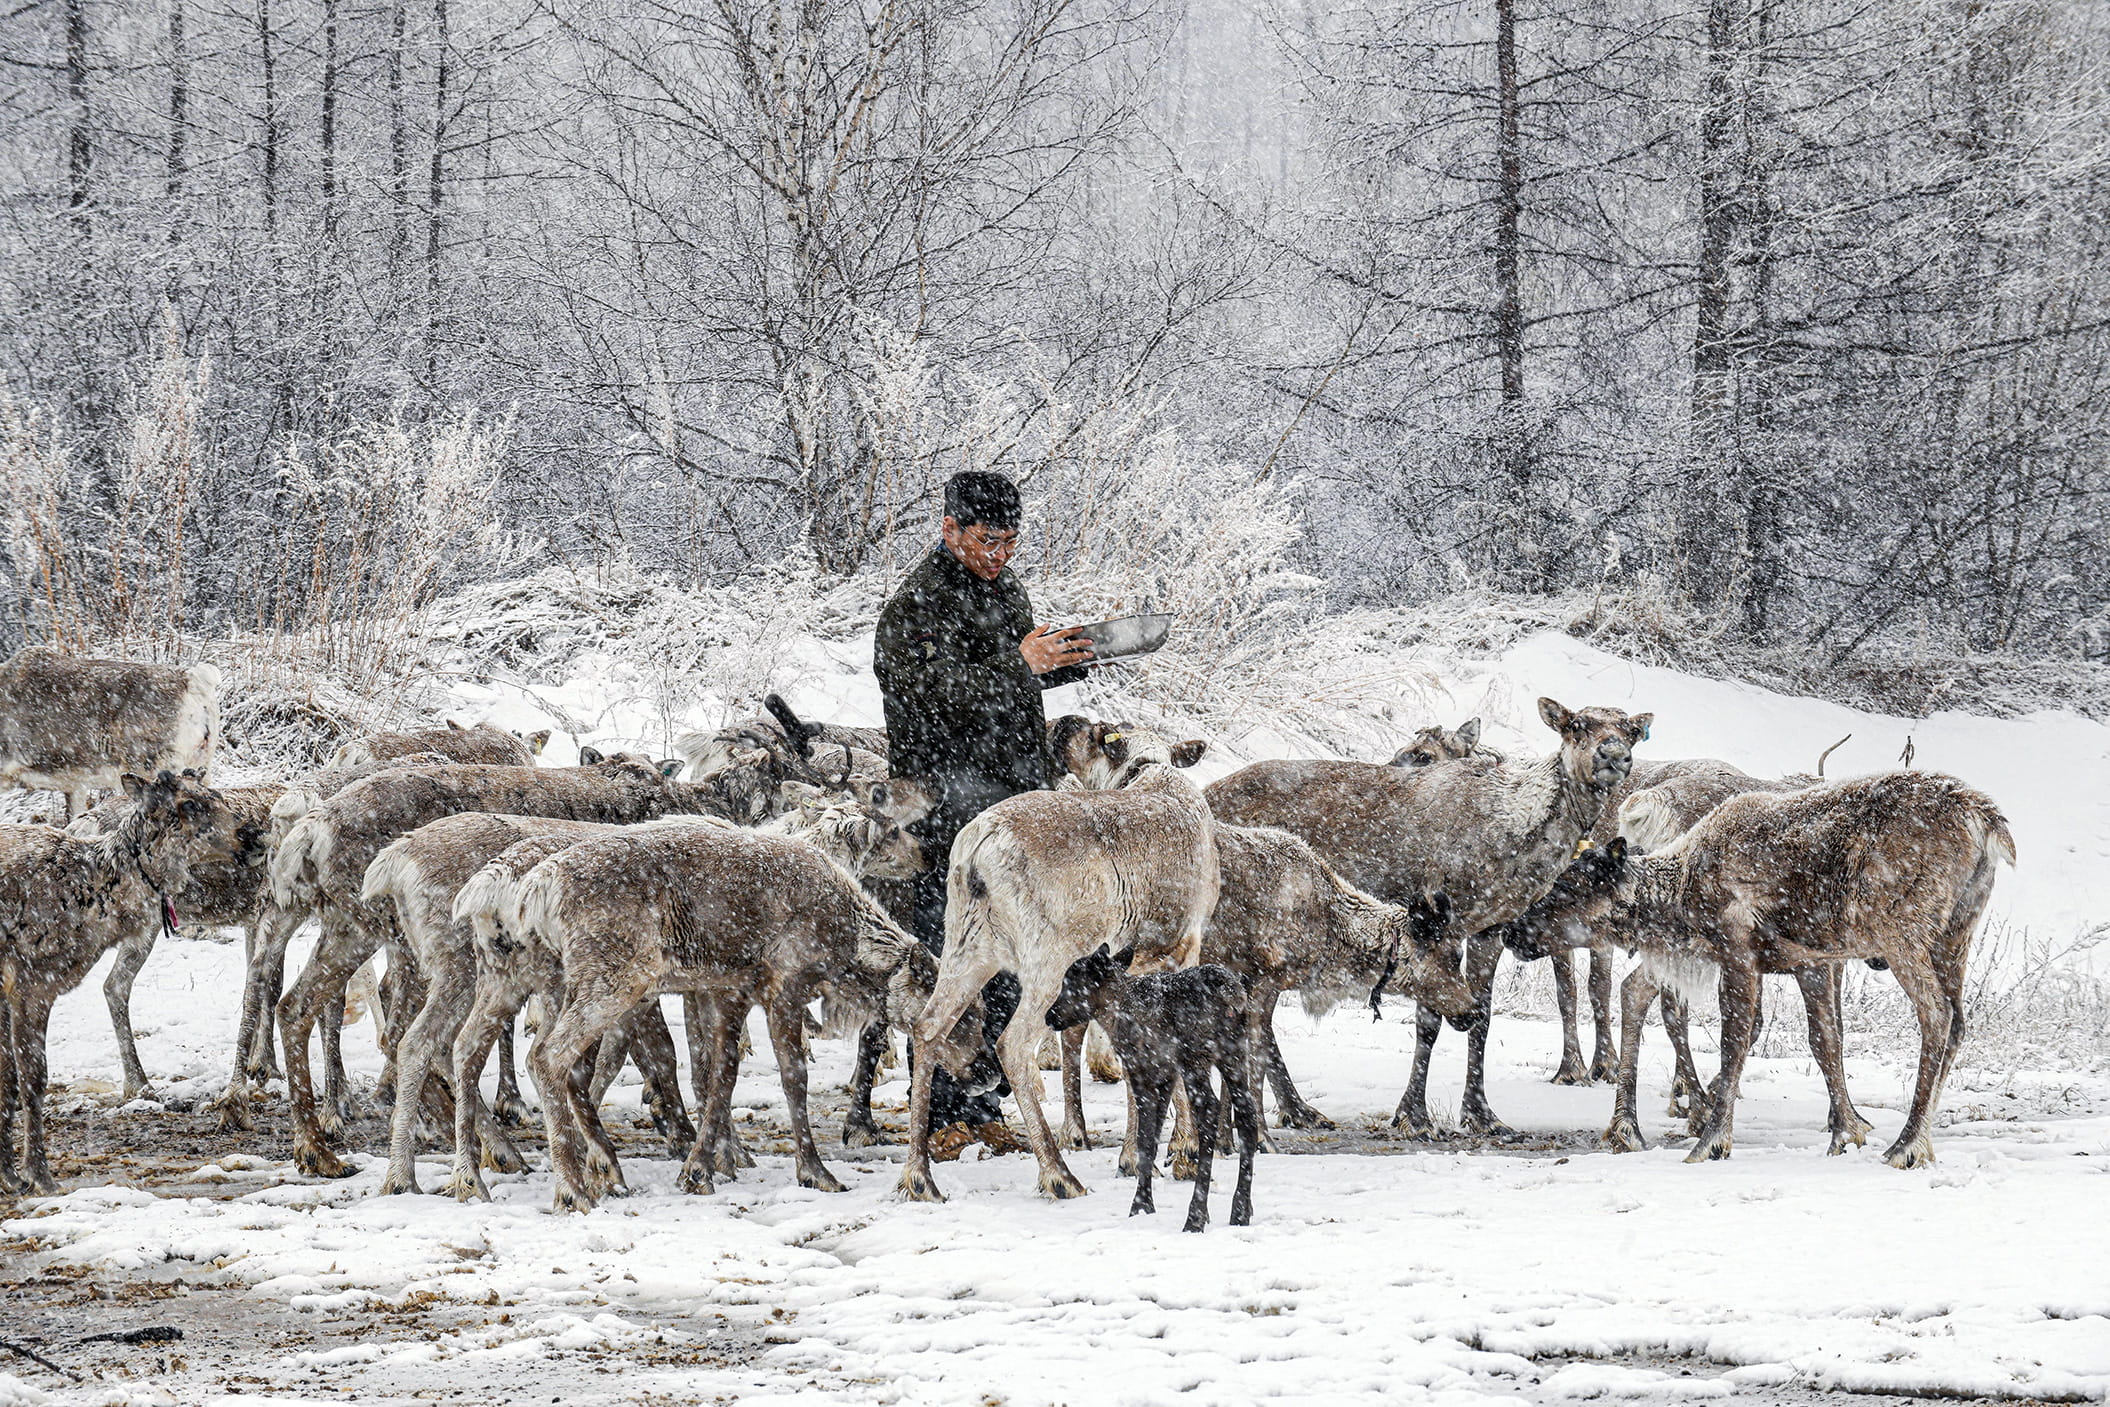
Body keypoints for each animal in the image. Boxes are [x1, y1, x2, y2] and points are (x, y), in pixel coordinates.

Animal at [0, 771, 235, 1193]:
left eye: (218, 796)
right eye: (189, 805)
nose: (249, 831)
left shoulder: (7, 989)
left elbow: (6, 1077)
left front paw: (10, 1174)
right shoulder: (32, 982)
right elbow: (33, 1077)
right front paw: (40, 1176)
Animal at [1205, 698, 1651, 1139]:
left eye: (1630, 731)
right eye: (1576, 725)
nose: (1613, 754)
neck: (1520, 838)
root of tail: (1206, 791)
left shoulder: (1490, 926)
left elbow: (1482, 1016)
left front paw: (1481, 1114)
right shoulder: (1443, 920)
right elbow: (1429, 1021)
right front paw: (1413, 1115)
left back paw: (1296, 1109)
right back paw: (1289, 1110)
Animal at [1499, 772, 2013, 1167]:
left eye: (1568, 886)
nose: (1511, 931)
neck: (1682, 889)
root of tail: (1986, 820)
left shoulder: (1739, 953)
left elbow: (1735, 1041)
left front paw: (1712, 1142)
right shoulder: (1808, 961)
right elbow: (1825, 1040)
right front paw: (1846, 1133)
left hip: (1903, 934)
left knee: (1937, 1016)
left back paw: (1905, 1146)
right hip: (1956, 935)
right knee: (1958, 1022)